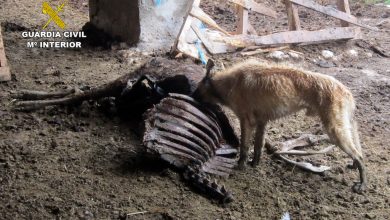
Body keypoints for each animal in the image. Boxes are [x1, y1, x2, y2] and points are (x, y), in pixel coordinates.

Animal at [193, 59, 368, 193]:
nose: (191, 97)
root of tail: (346, 91)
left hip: (334, 130)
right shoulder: (262, 122)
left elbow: (244, 147)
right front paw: (254, 164)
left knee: (359, 156)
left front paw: (241, 166)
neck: (229, 83)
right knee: (357, 153)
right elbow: (258, 147)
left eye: (197, 89)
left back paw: (362, 184)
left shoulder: (246, 121)